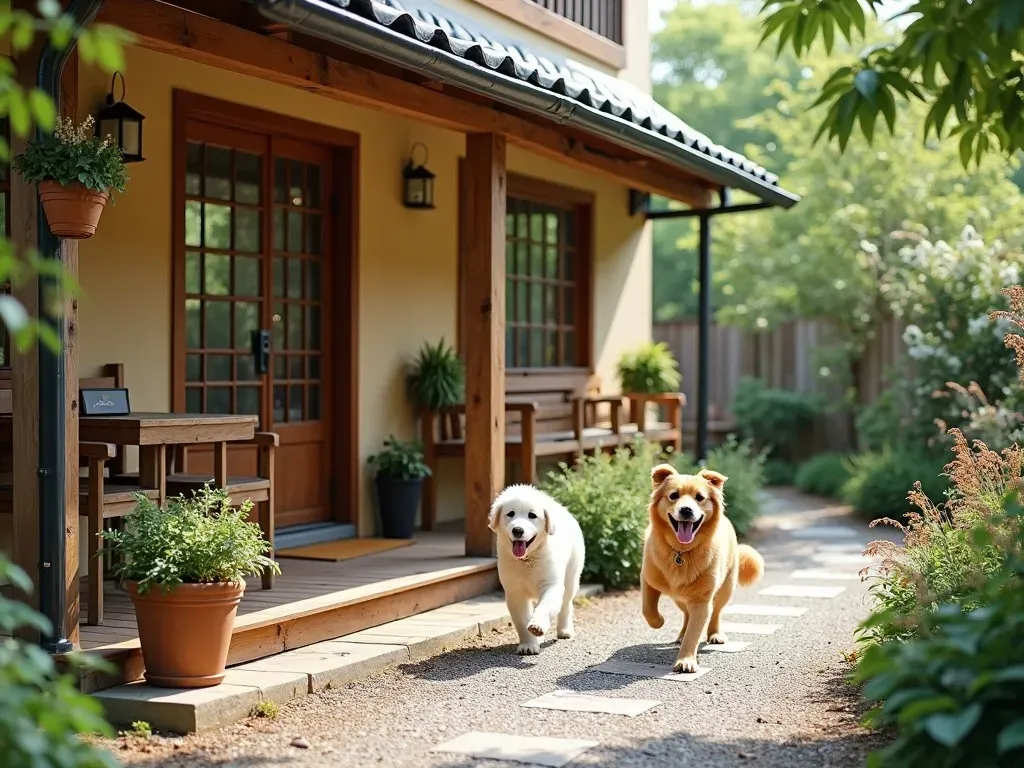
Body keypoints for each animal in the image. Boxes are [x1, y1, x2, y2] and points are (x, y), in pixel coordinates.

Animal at [489, 487, 585, 655]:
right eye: (510, 513)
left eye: (532, 515)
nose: (518, 530)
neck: (528, 559)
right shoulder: (515, 592)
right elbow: (522, 621)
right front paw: (528, 644)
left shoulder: (551, 585)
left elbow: (545, 606)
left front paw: (537, 626)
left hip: (572, 575)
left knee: (566, 603)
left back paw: (564, 630)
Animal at [643, 462, 765, 671]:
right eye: (673, 495)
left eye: (699, 498)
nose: (686, 510)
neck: (681, 552)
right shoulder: (648, 579)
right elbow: (647, 609)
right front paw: (659, 621)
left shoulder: (702, 600)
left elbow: (695, 631)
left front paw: (686, 660)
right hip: (680, 598)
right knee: (686, 614)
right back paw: (681, 634)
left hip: (725, 589)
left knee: (715, 613)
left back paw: (715, 634)